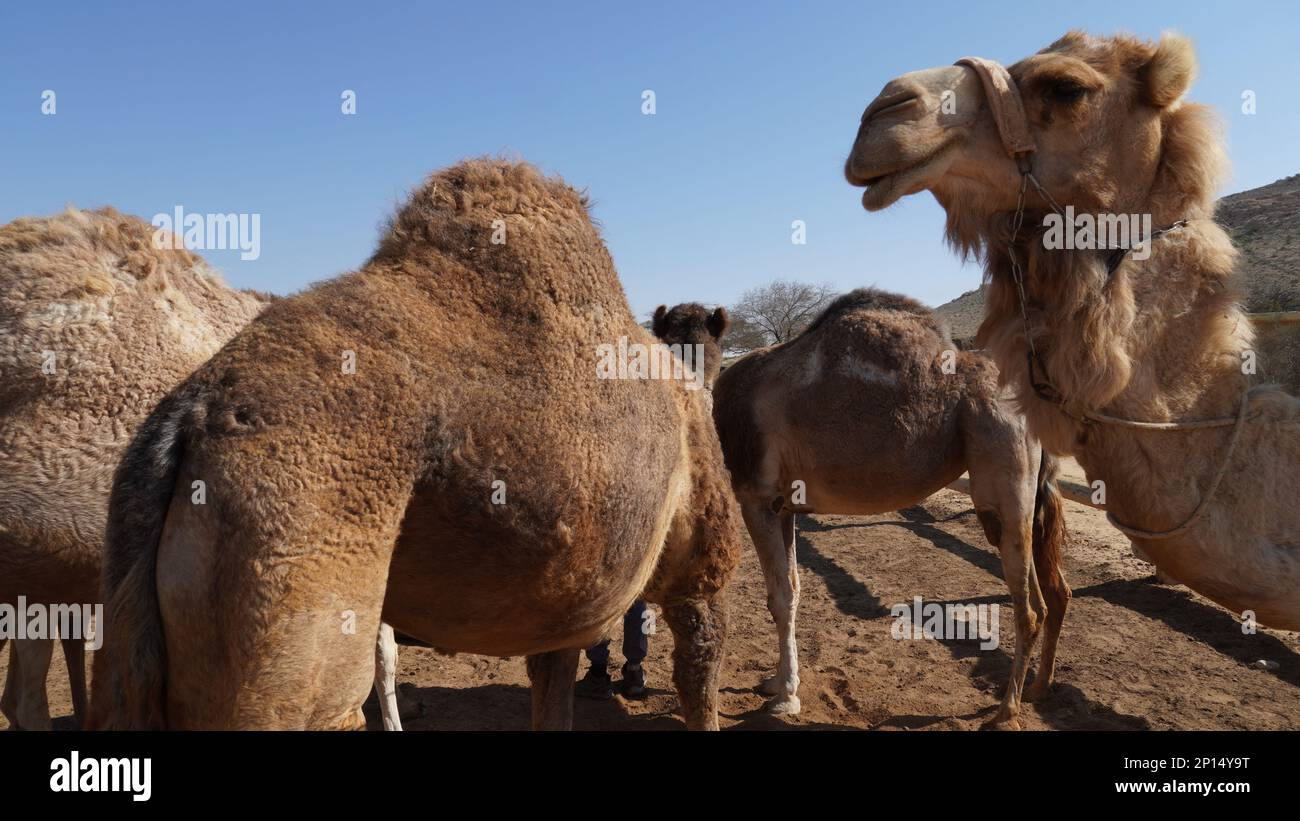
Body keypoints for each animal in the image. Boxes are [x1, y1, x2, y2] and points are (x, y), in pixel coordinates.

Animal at [681, 290, 1067, 729]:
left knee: (1029, 606)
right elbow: (791, 591)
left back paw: (1006, 710)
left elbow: (779, 596)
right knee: (1049, 595)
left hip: (1003, 479)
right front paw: (778, 682)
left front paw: (786, 698)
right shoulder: (783, 505)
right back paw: (1037, 689)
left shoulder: (756, 498)